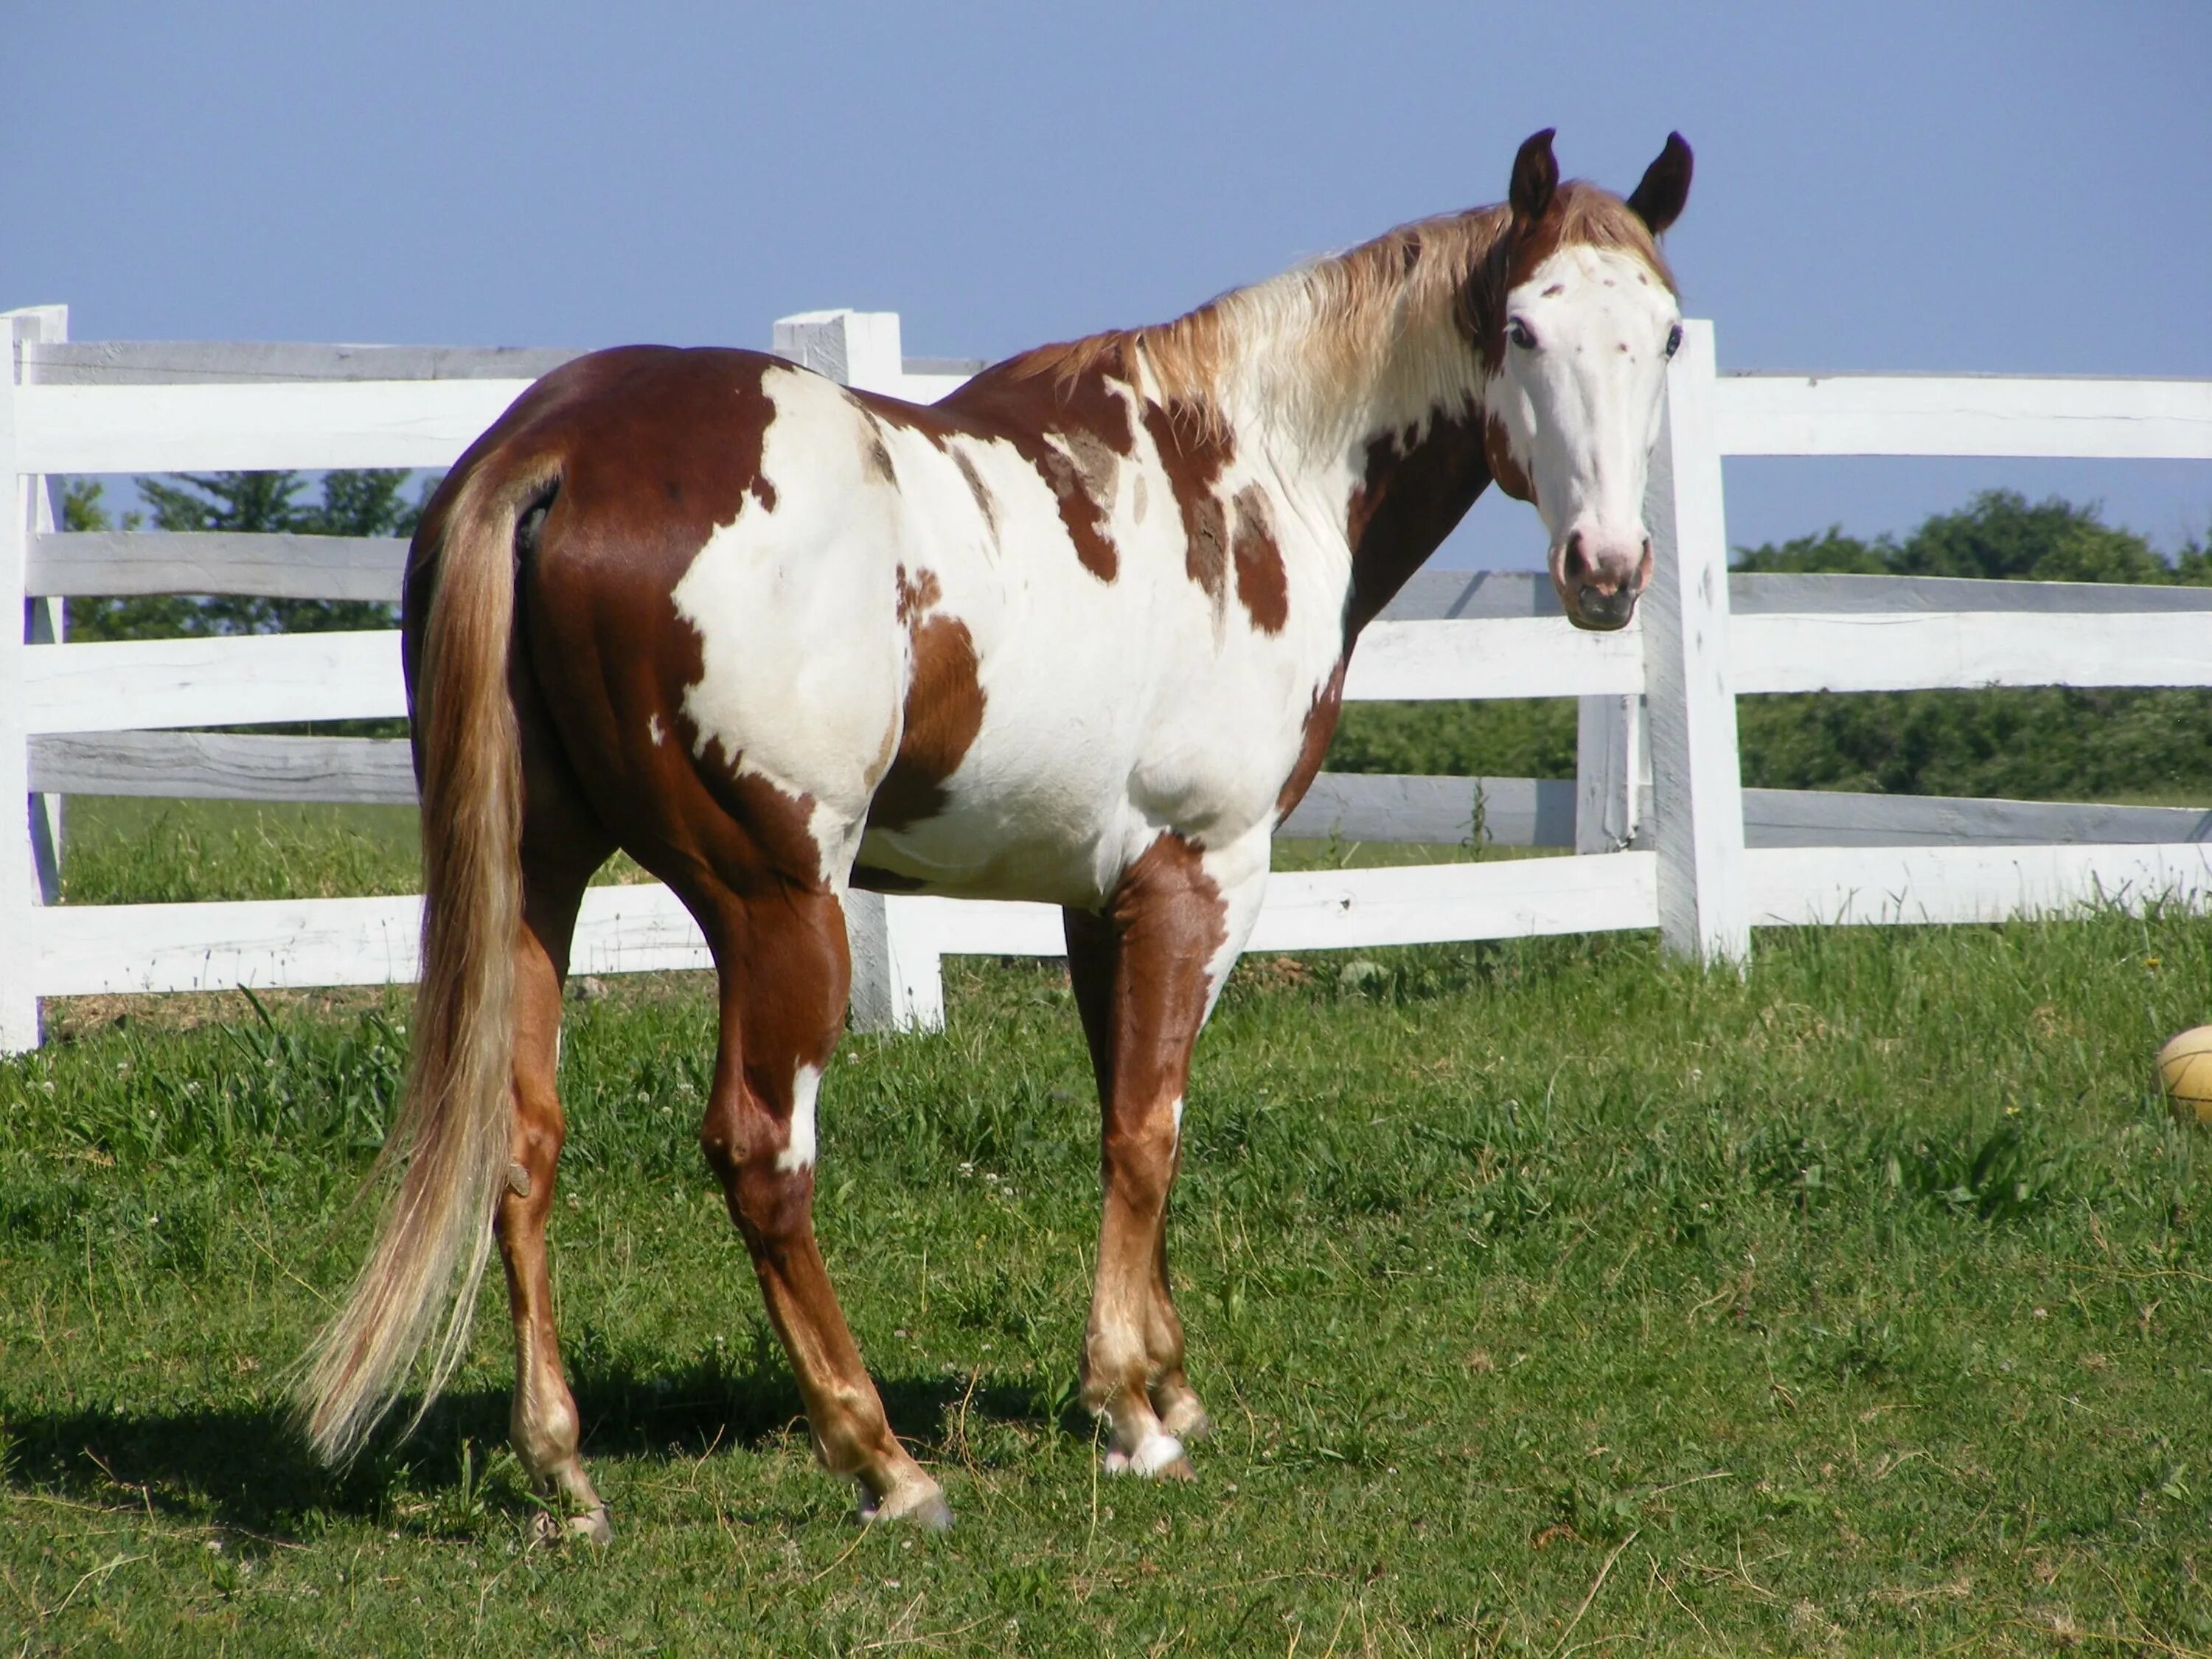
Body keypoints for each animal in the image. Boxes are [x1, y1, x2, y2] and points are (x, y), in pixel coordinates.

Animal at [299, 130, 1690, 1548]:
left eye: (1668, 334)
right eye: (1522, 327)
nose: (1609, 567)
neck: (1251, 473)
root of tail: (560, 447)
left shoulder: (1098, 895)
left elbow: (1125, 1105)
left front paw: (1164, 1381)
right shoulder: (1203, 873)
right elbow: (1151, 1128)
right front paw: (1131, 1410)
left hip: (539, 878)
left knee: (521, 1146)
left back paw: (564, 1468)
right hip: (778, 905)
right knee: (761, 1156)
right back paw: (882, 1461)